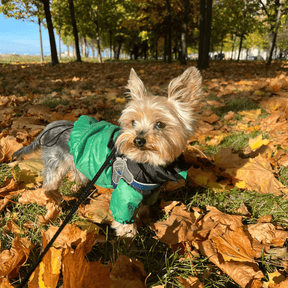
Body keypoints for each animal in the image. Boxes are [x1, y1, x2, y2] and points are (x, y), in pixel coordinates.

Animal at [12, 66, 202, 237]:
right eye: (133, 122)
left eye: (160, 124)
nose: (138, 140)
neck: (148, 161)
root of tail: (51, 125)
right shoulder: (126, 191)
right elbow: (124, 215)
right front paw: (128, 238)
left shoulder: (149, 191)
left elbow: (144, 206)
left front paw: (144, 218)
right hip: (55, 165)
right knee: (50, 185)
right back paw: (53, 203)